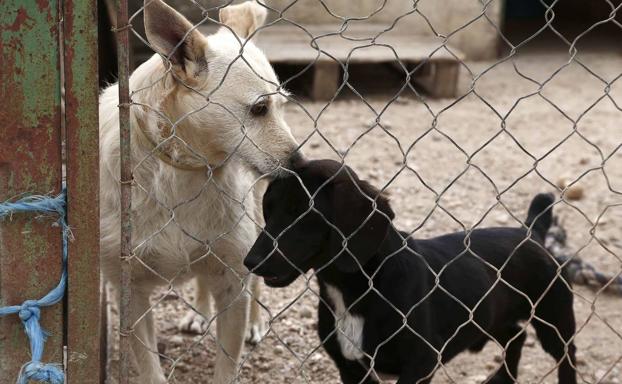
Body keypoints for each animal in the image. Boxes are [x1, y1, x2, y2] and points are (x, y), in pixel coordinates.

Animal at [99, 1, 302, 382]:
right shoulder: (129, 293)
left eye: (283, 107)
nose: (301, 165)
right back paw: (199, 312)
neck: (185, 170)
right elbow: (150, 367)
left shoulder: (233, 283)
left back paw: (255, 323)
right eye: (259, 108)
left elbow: (228, 362)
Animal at [245, 160, 580, 384]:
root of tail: (531, 232)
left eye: (301, 212)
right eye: (268, 210)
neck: (356, 290)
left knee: (567, 356)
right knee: (516, 335)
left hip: (554, 320)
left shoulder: (419, 365)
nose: (250, 262)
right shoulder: (349, 368)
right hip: (489, 318)